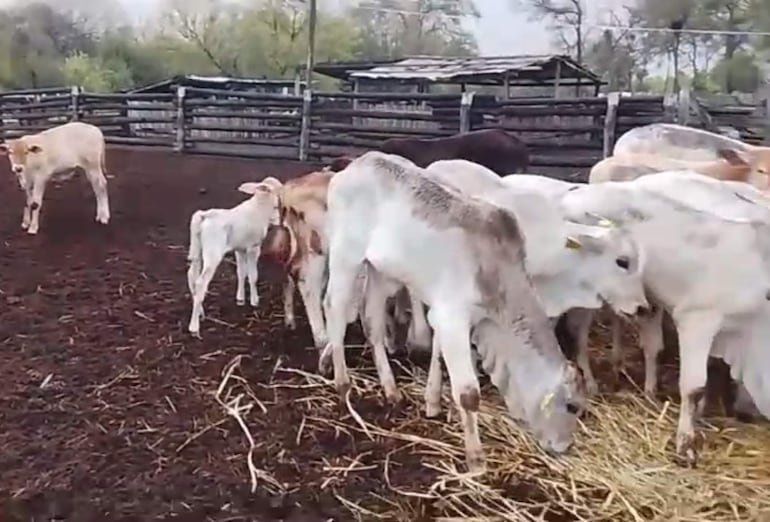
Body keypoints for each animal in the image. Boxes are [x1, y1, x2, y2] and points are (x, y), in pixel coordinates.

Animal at [319, 150, 587, 472]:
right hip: (345, 255)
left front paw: (432, 402)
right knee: (334, 307)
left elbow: (437, 356)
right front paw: (476, 460)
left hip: (382, 271)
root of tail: (360, 162)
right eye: (572, 406)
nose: (564, 447)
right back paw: (342, 383)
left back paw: (390, 389)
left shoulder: (444, 316)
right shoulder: (453, 316)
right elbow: (469, 393)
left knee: (371, 322)